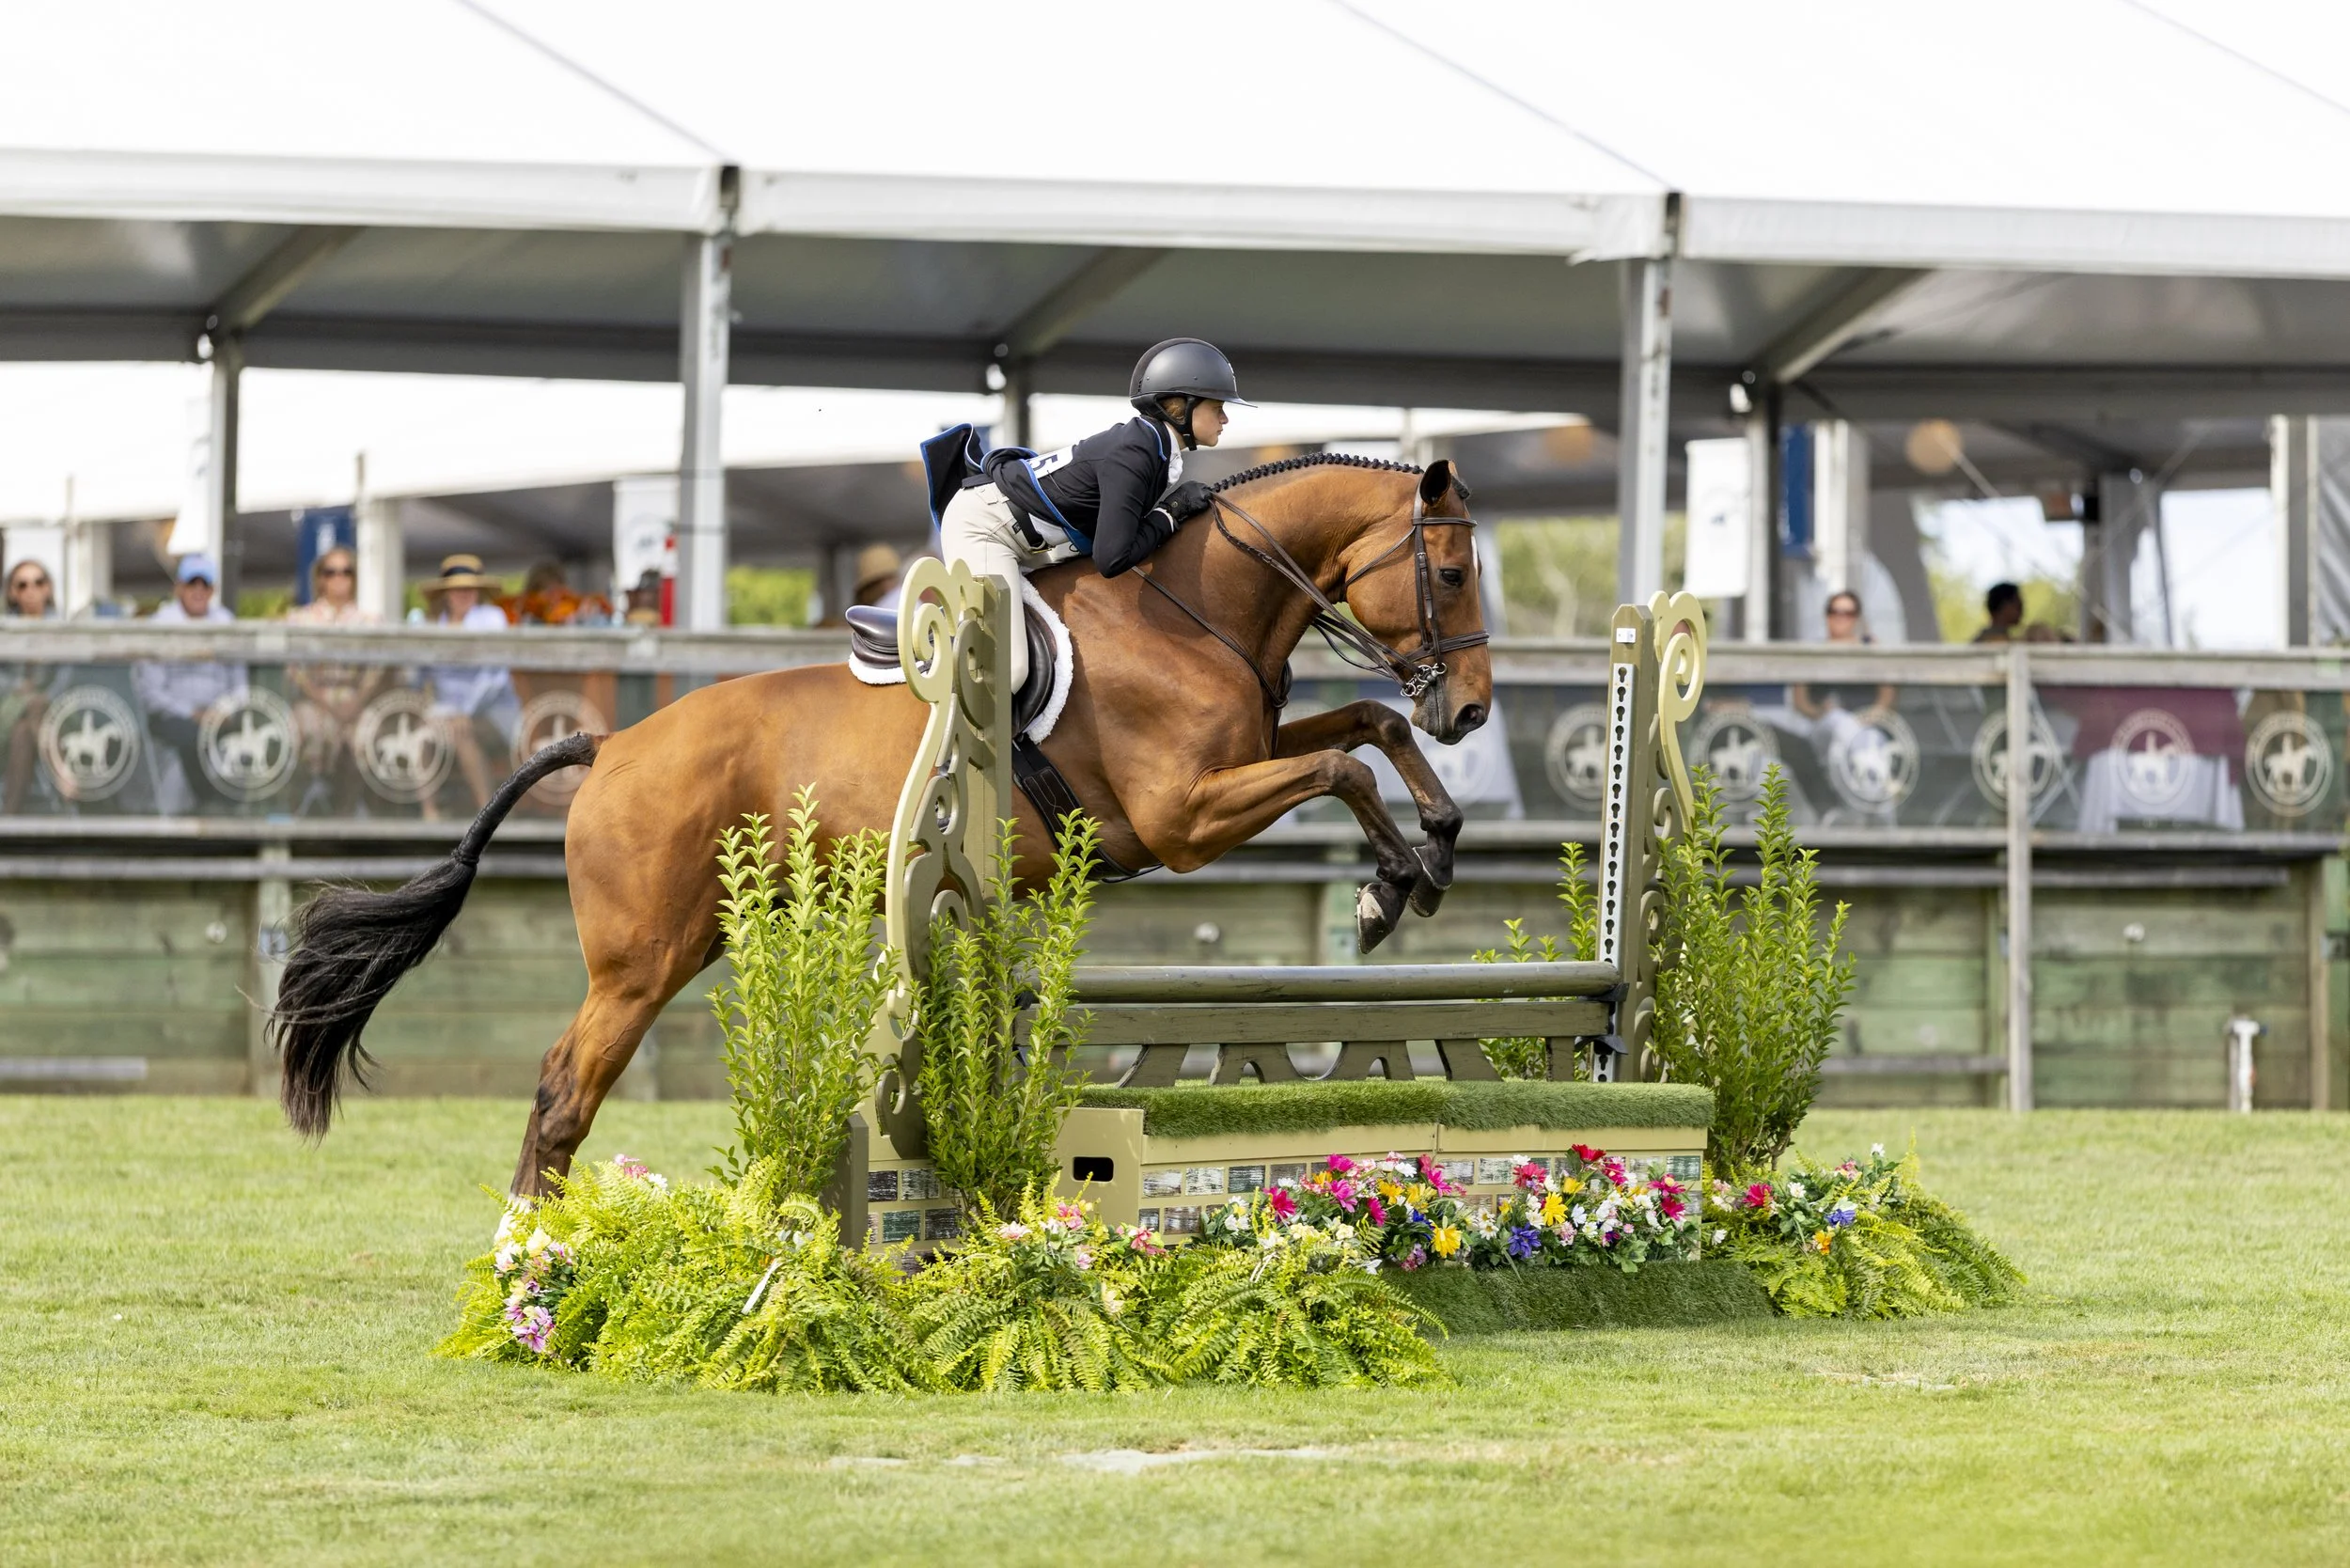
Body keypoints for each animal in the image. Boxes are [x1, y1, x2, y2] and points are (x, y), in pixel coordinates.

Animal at [271, 453, 1493, 1196]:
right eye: (1446, 569)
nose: (1474, 711)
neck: (1193, 609)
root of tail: (611, 746)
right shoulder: (1181, 820)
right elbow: (1340, 762)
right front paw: (1389, 888)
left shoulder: (1241, 760)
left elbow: (1369, 726)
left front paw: (1435, 842)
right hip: (640, 960)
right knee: (565, 1086)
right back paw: (534, 1258)